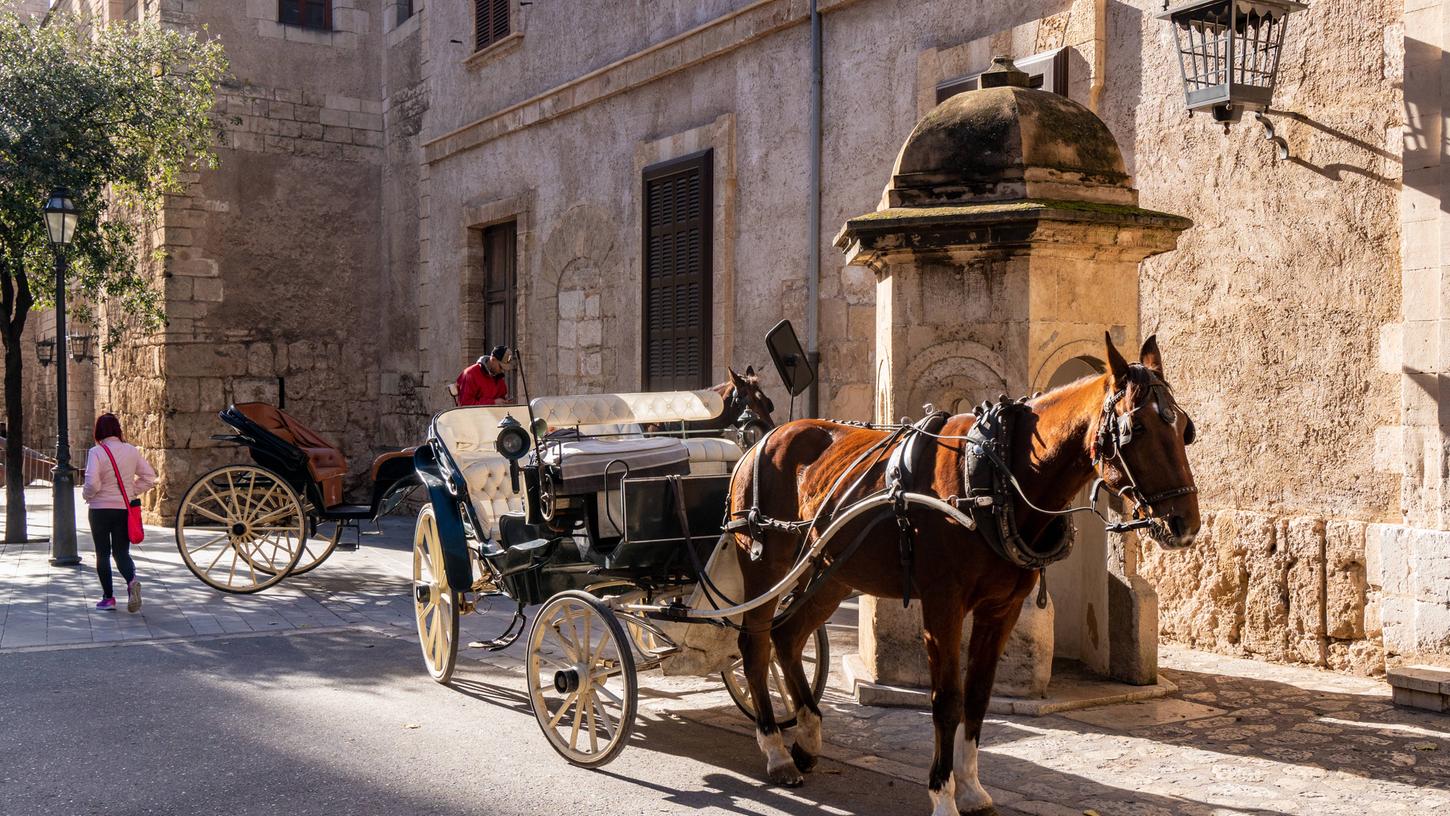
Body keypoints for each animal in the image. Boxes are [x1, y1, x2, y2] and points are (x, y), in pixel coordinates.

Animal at [725, 334, 1200, 811]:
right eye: (1137, 430)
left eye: (1184, 429)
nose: (1186, 525)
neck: (994, 479)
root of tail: (765, 439)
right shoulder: (943, 605)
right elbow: (947, 699)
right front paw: (942, 794)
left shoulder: (1002, 608)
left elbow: (977, 696)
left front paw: (971, 787)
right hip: (766, 565)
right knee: (755, 644)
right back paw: (775, 750)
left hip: (832, 574)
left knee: (787, 636)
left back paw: (806, 738)